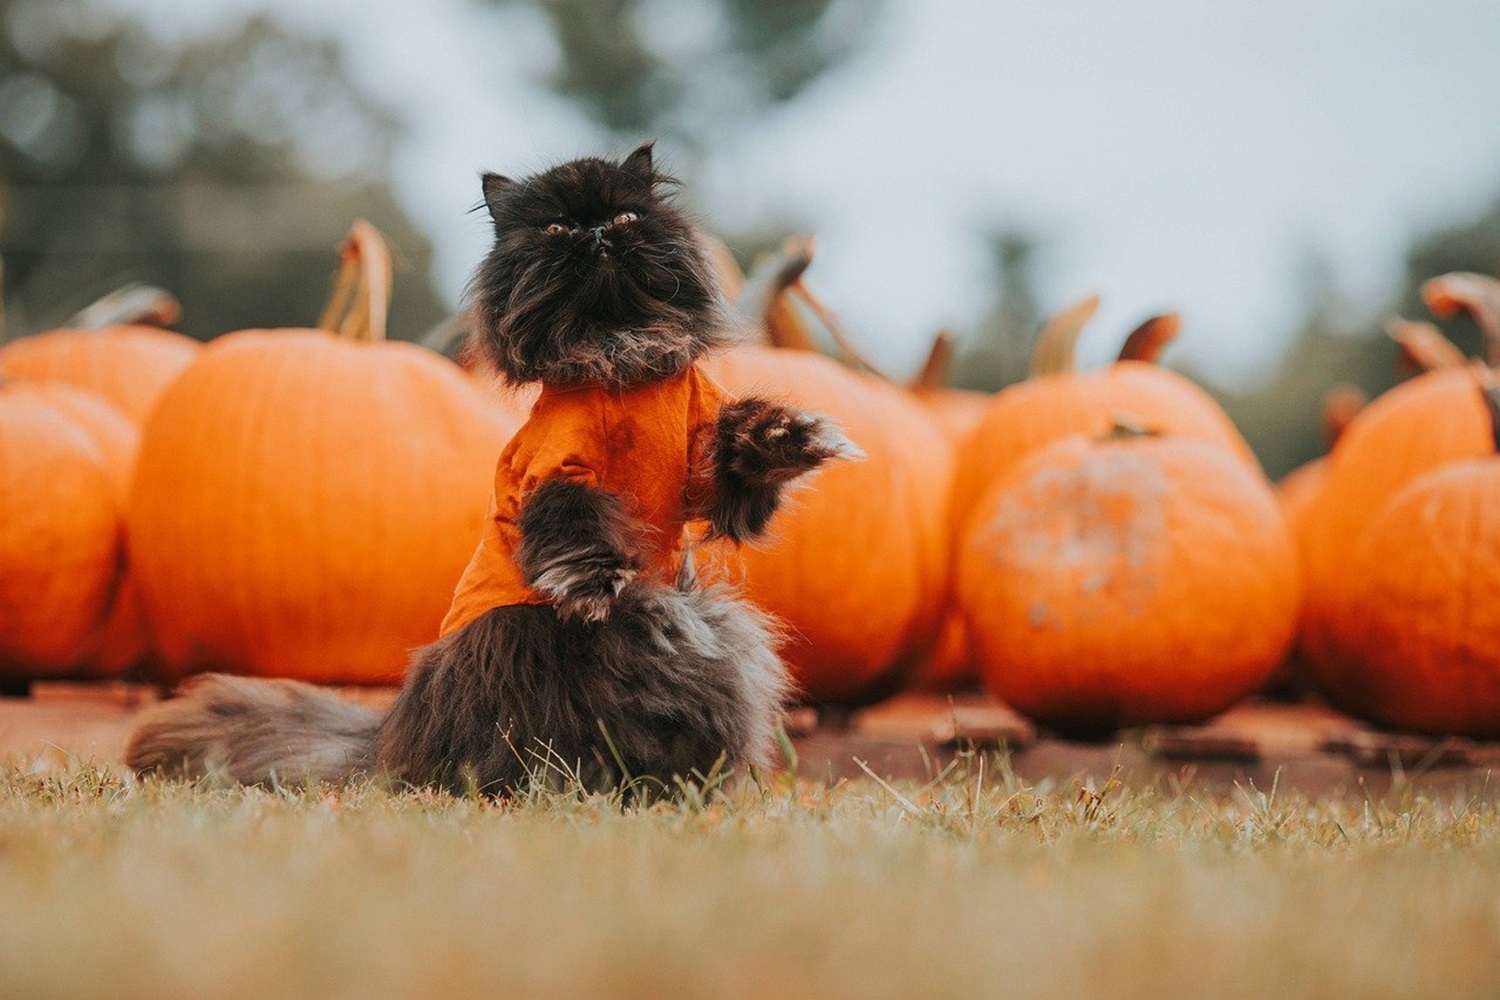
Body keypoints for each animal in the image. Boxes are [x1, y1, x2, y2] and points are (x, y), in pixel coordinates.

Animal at [126, 142, 858, 797]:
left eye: (625, 217)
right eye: (558, 228)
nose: (597, 233)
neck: (618, 354)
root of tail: (391, 740)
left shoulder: (707, 473)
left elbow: (745, 455)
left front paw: (795, 434)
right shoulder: (559, 475)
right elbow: (575, 533)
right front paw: (596, 589)